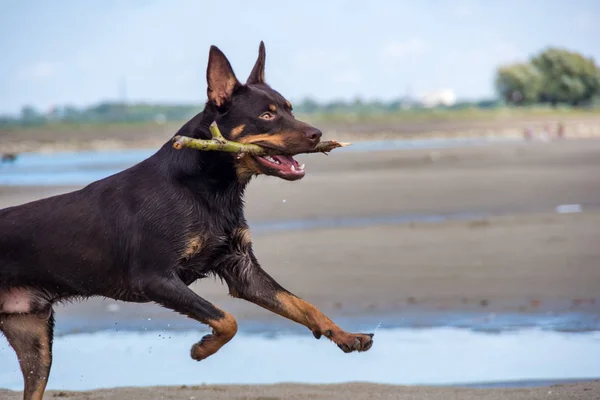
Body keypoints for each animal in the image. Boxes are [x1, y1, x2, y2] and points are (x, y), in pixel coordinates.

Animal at [0, 41, 376, 400]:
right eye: (267, 114)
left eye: (290, 108)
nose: (317, 134)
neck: (208, 188)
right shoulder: (155, 278)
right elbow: (227, 320)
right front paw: (203, 349)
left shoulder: (242, 269)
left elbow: (303, 306)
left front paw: (345, 335)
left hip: (34, 341)